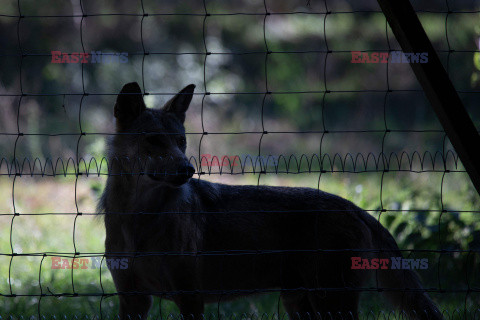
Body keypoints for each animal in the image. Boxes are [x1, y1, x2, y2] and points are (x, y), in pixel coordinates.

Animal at [97, 82, 442, 320]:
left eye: (181, 142)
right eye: (154, 140)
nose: (188, 170)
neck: (138, 219)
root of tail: (357, 209)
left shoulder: (190, 298)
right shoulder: (134, 299)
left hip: (329, 302)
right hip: (300, 304)